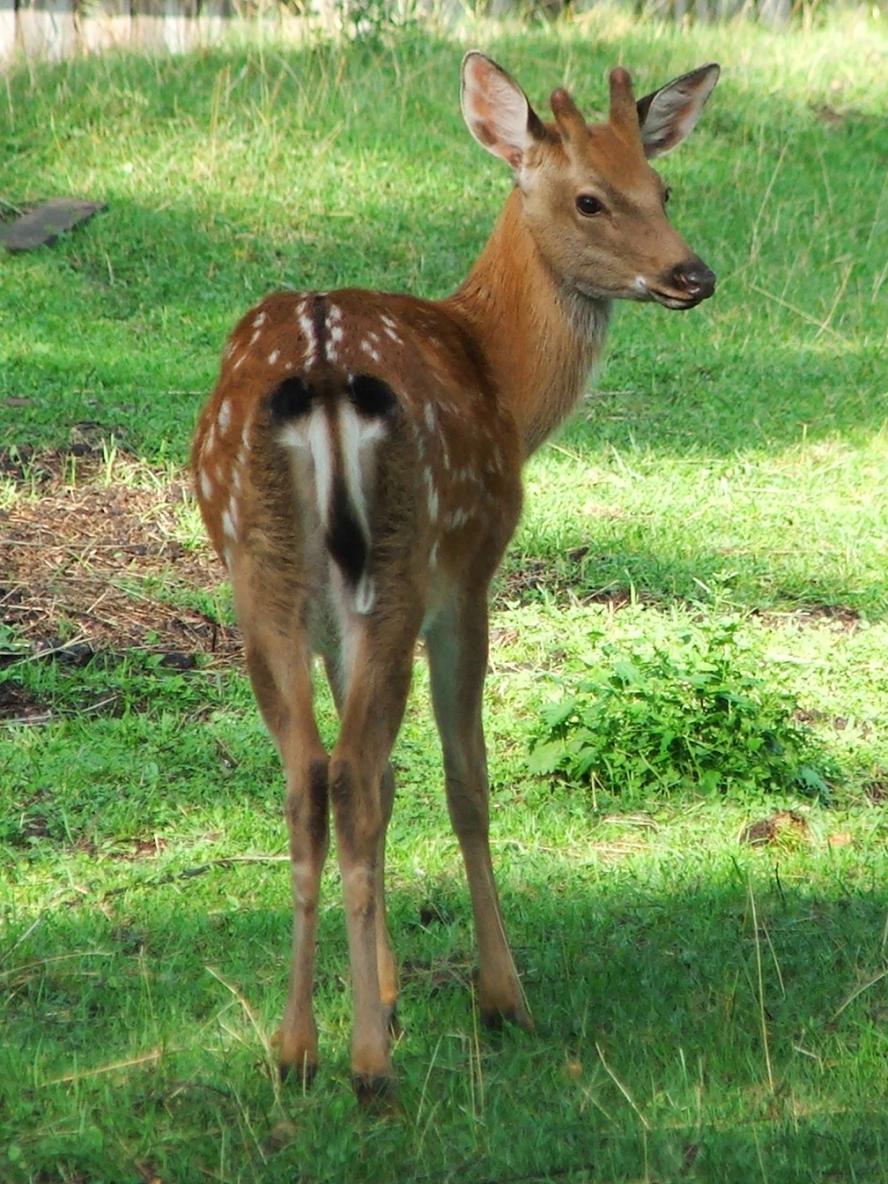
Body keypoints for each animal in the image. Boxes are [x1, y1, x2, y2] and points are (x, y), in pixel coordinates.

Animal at [194, 46, 724, 1098]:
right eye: (592, 198)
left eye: (664, 187)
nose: (693, 274)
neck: (500, 375)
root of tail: (322, 375)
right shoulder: (473, 571)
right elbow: (464, 780)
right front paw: (498, 994)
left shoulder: (333, 619)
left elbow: (388, 780)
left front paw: (391, 986)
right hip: (406, 560)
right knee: (356, 772)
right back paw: (368, 1066)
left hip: (263, 572)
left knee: (312, 778)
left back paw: (296, 1048)